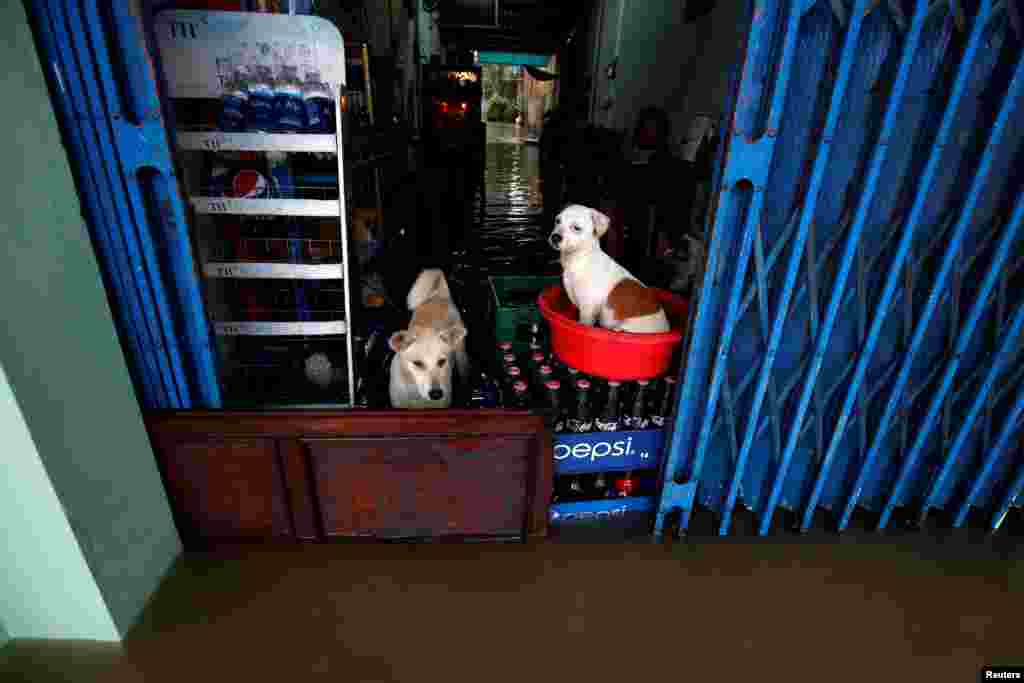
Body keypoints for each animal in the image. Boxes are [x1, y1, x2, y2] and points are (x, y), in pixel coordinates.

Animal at [552, 205, 671, 333]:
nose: (555, 237)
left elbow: (584, 324)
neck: (579, 260)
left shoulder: (587, 310)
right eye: (557, 221)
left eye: (576, 228)